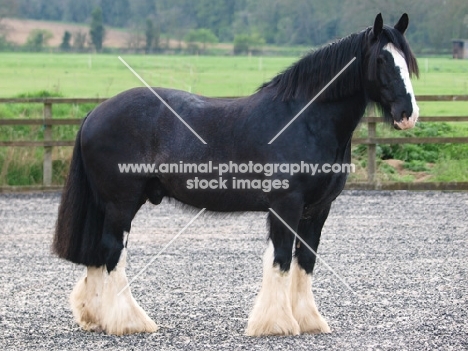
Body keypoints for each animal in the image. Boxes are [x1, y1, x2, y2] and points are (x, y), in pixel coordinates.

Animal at [53, 13, 418, 336]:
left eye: (408, 60)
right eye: (382, 60)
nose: (408, 114)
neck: (305, 120)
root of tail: (95, 112)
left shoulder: (317, 209)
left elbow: (305, 262)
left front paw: (309, 321)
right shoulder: (286, 205)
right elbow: (281, 260)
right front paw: (276, 325)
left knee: (98, 254)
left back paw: (96, 318)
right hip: (121, 203)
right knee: (112, 252)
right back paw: (129, 323)